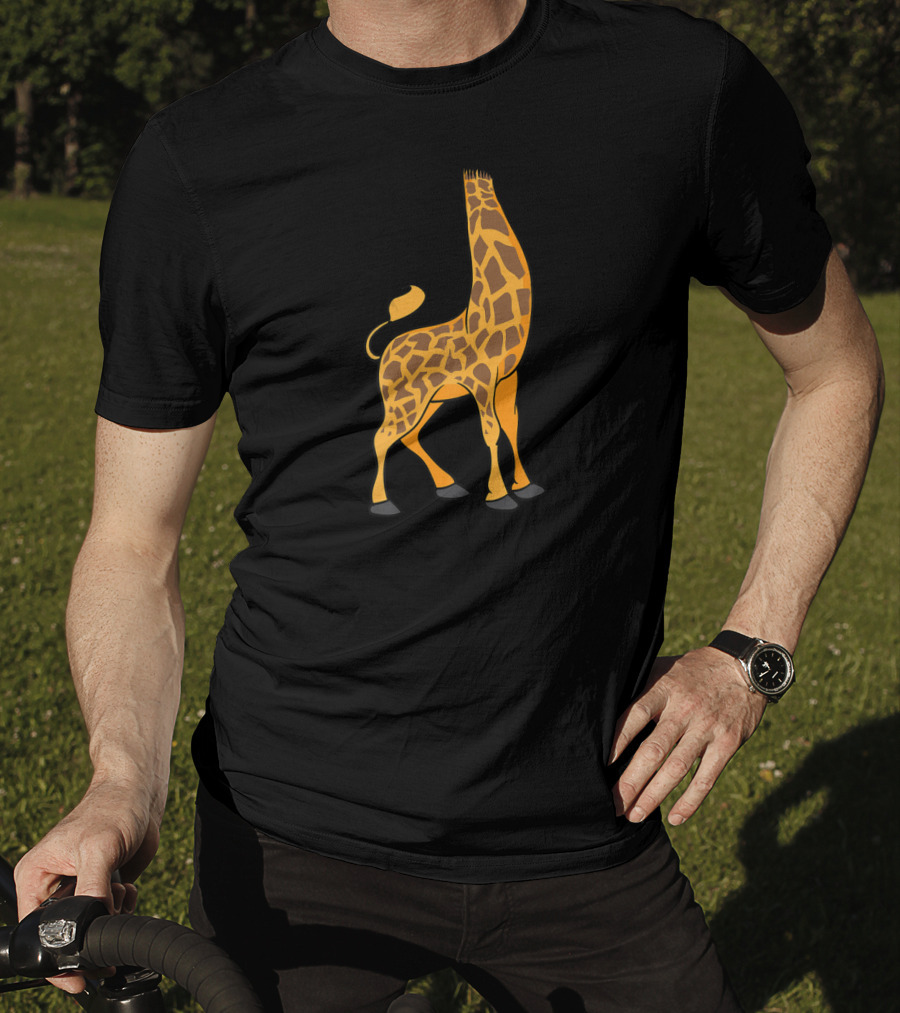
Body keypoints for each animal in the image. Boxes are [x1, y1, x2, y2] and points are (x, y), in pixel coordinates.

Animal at [366, 170, 543, 515]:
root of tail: (384, 356)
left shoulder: (508, 375)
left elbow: (512, 424)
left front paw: (525, 485)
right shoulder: (481, 379)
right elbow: (491, 431)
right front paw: (499, 495)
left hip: (431, 400)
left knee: (408, 436)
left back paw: (447, 485)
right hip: (403, 402)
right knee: (382, 437)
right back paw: (382, 503)